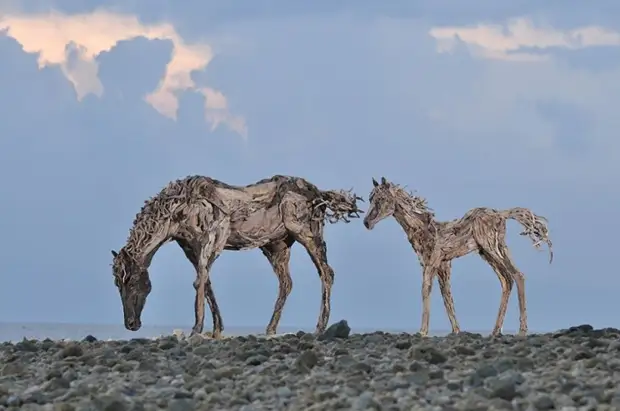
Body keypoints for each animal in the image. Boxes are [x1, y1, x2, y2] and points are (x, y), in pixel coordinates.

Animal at [111, 174, 364, 338]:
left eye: (131, 281)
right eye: (117, 284)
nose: (131, 324)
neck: (179, 209)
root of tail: (320, 194)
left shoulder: (211, 240)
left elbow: (199, 281)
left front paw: (197, 328)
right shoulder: (190, 248)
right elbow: (206, 282)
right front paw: (216, 329)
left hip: (308, 234)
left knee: (326, 273)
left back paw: (320, 327)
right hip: (276, 246)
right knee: (286, 282)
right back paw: (270, 329)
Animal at [364, 177, 552, 338]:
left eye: (382, 198)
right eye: (370, 198)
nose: (367, 222)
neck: (424, 230)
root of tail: (501, 214)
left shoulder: (431, 263)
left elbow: (426, 290)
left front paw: (423, 332)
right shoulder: (444, 265)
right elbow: (447, 295)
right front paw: (456, 331)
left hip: (491, 248)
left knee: (514, 276)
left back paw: (520, 331)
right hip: (491, 251)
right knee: (510, 278)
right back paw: (496, 331)